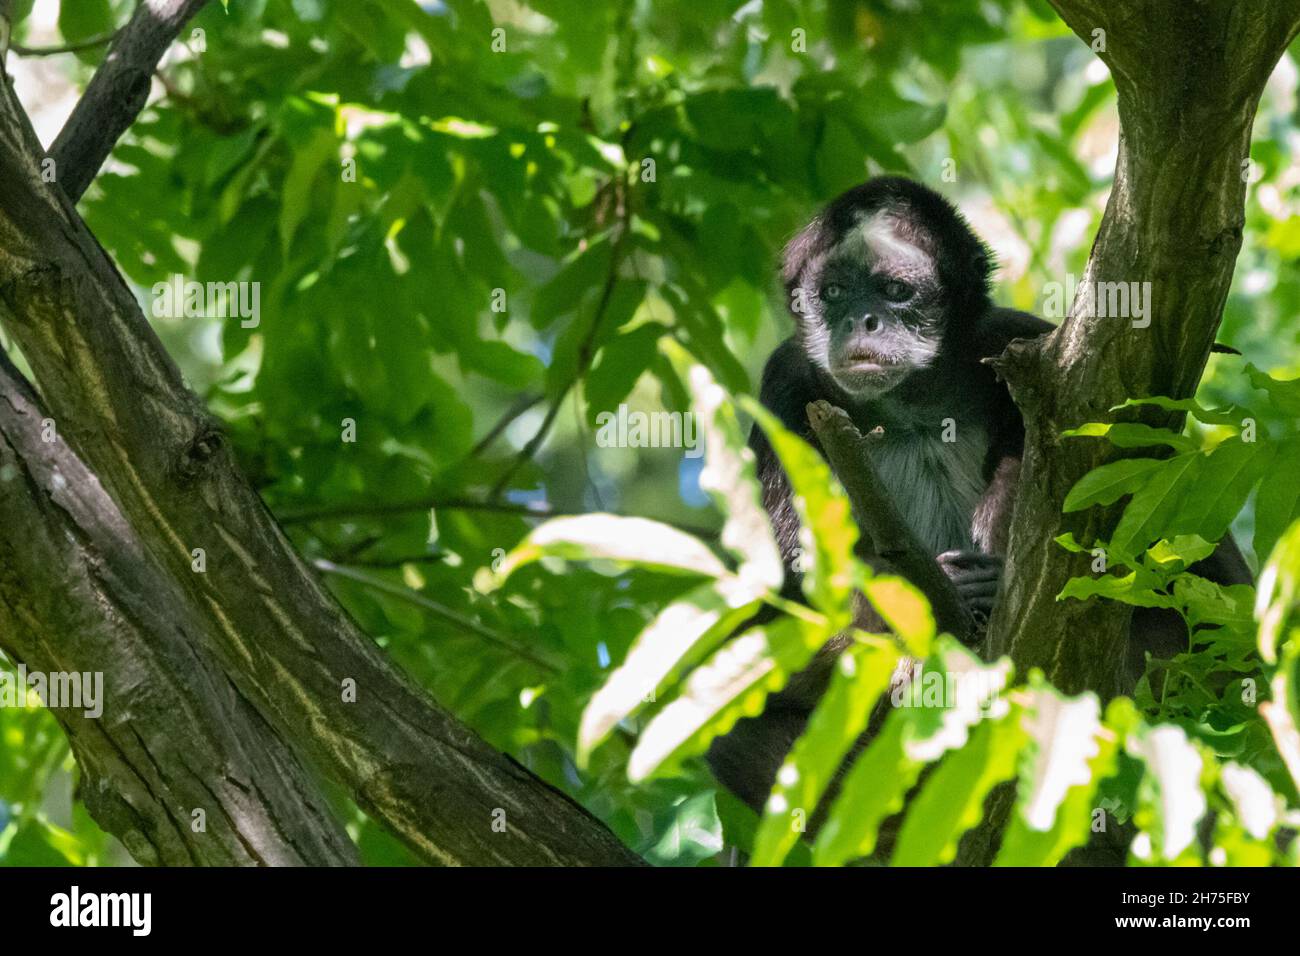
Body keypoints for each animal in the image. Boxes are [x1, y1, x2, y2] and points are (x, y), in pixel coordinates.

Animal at [706, 176, 1252, 820]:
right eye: (834, 292)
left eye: (895, 292)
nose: (861, 321)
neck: (910, 407)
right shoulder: (786, 382)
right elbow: (777, 600)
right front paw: (931, 594)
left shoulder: (1018, 338)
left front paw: (991, 554)